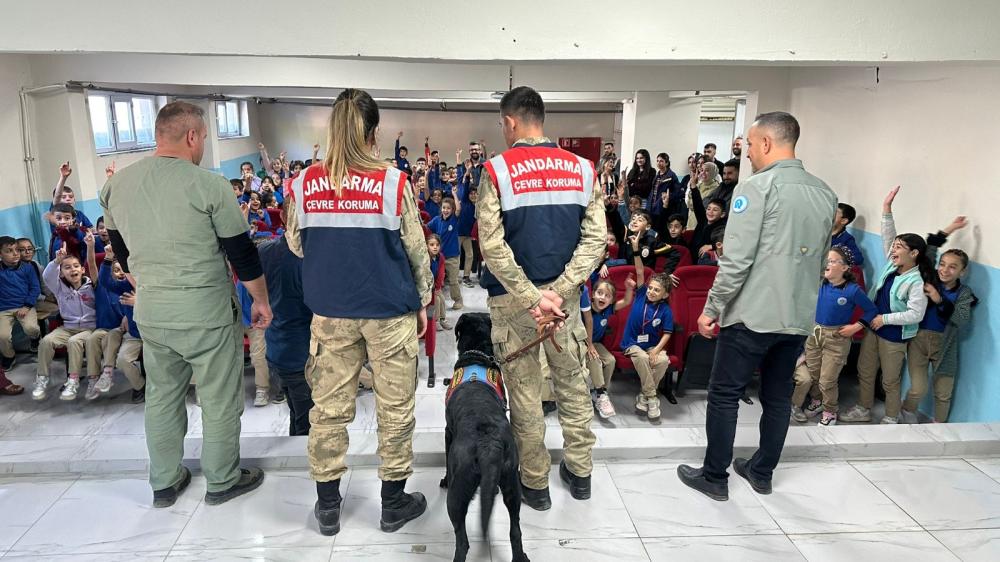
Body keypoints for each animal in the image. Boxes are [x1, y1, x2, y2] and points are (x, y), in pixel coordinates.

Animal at [440, 312, 528, 556]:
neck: (477, 353)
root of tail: (489, 444)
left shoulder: (448, 431)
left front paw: (443, 479)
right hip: (512, 481)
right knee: (515, 530)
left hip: (457, 493)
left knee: (462, 541)